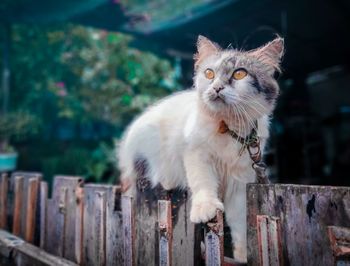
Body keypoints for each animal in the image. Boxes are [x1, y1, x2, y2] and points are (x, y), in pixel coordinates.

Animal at [117, 35, 284, 262]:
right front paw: (206, 208)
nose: (216, 88)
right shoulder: (196, 153)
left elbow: (239, 224)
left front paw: (242, 257)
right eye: (209, 73)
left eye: (239, 73)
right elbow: (203, 182)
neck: (226, 127)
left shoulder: (241, 179)